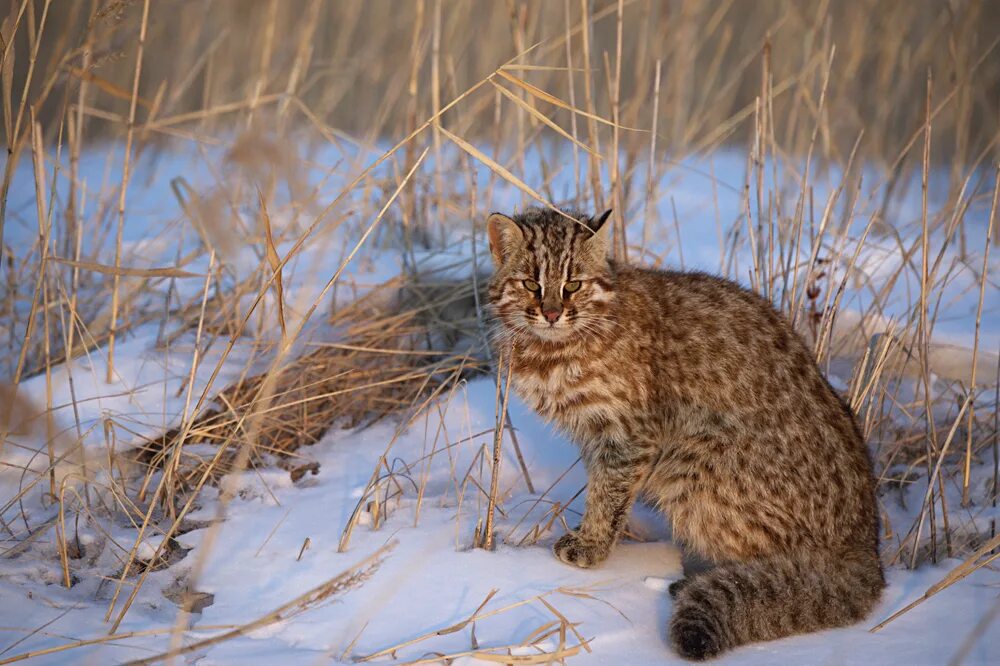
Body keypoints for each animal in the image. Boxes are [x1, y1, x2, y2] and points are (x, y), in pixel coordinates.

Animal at [484, 206, 884, 660]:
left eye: (573, 284)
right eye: (530, 283)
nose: (551, 313)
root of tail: (866, 548)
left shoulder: (632, 433)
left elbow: (609, 493)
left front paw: (593, 545)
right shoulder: (597, 435)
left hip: (694, 463)